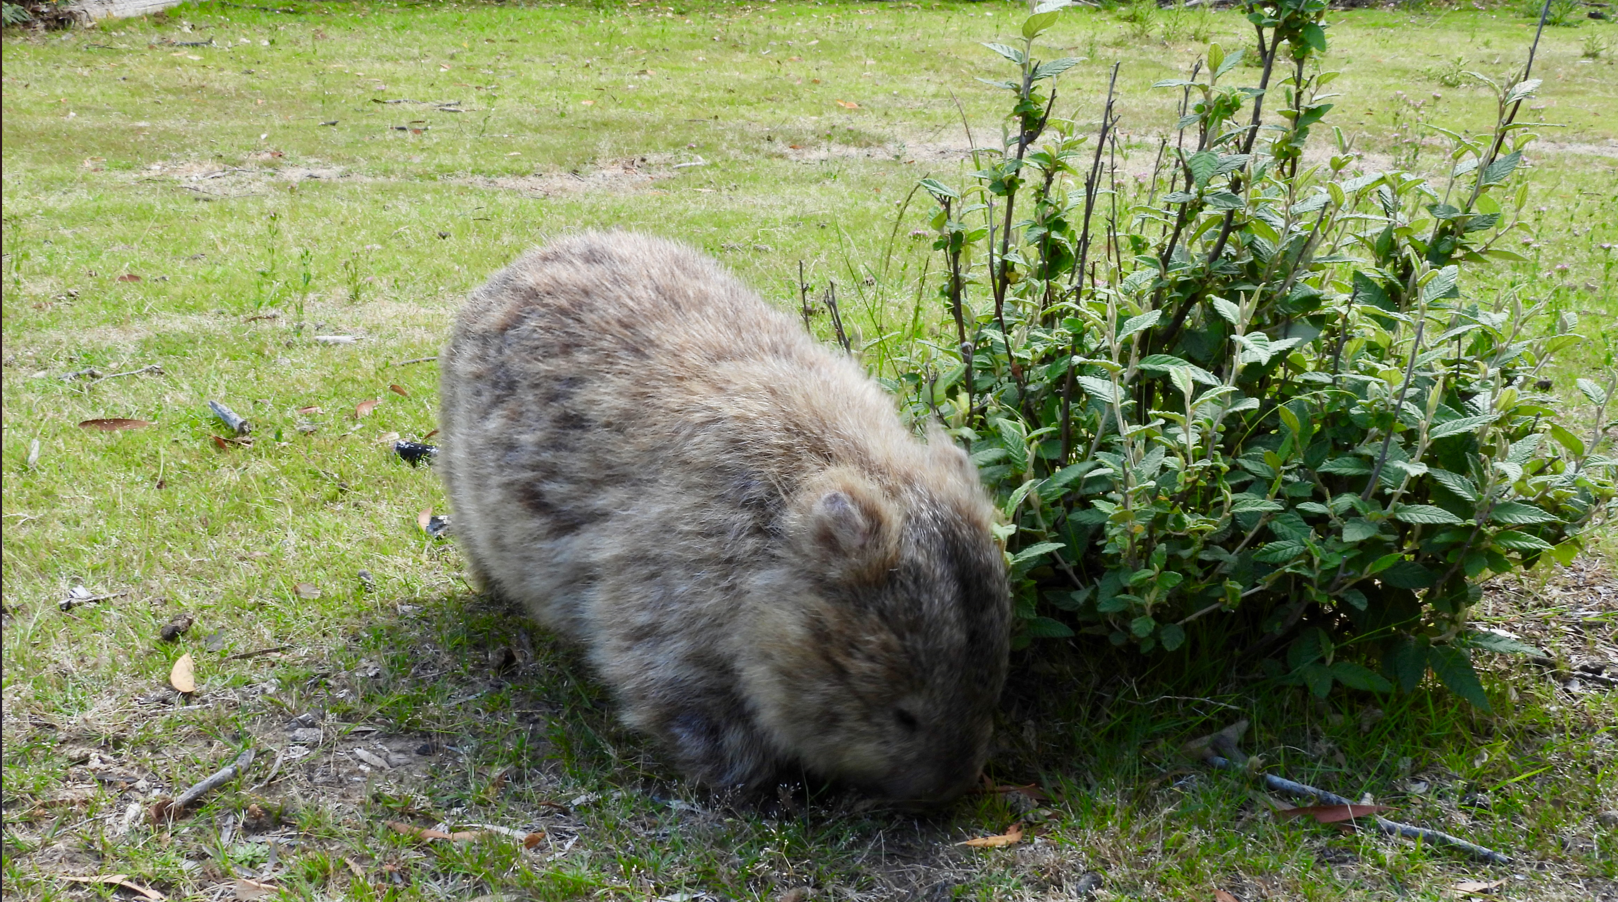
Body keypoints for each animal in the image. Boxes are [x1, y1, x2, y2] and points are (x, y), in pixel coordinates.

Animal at [437, 231, 1010, 804]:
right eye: (905, 717)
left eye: (991, 696)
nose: (951, 787)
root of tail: (530, 256)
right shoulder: (672, 580)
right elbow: (675, 686)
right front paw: (757, 776)